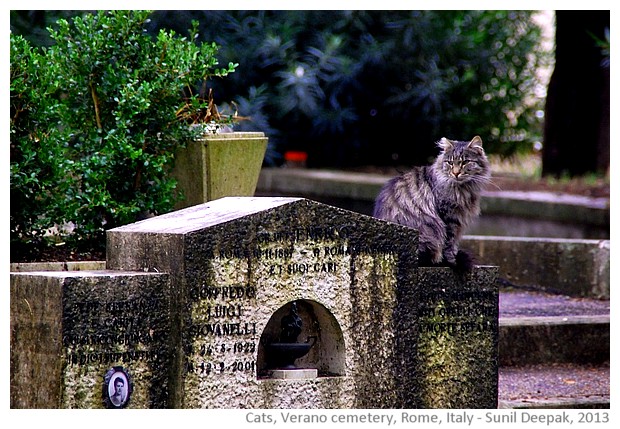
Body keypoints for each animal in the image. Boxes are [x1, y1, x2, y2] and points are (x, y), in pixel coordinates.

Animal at [370, 135, 492, 270]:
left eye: (465, 162)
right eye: (450, 163)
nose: (455, 173)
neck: (463, 188)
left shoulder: (458, 220)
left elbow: (454, 243)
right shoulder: (449, 217)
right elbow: (449, 243)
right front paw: (452, 261)